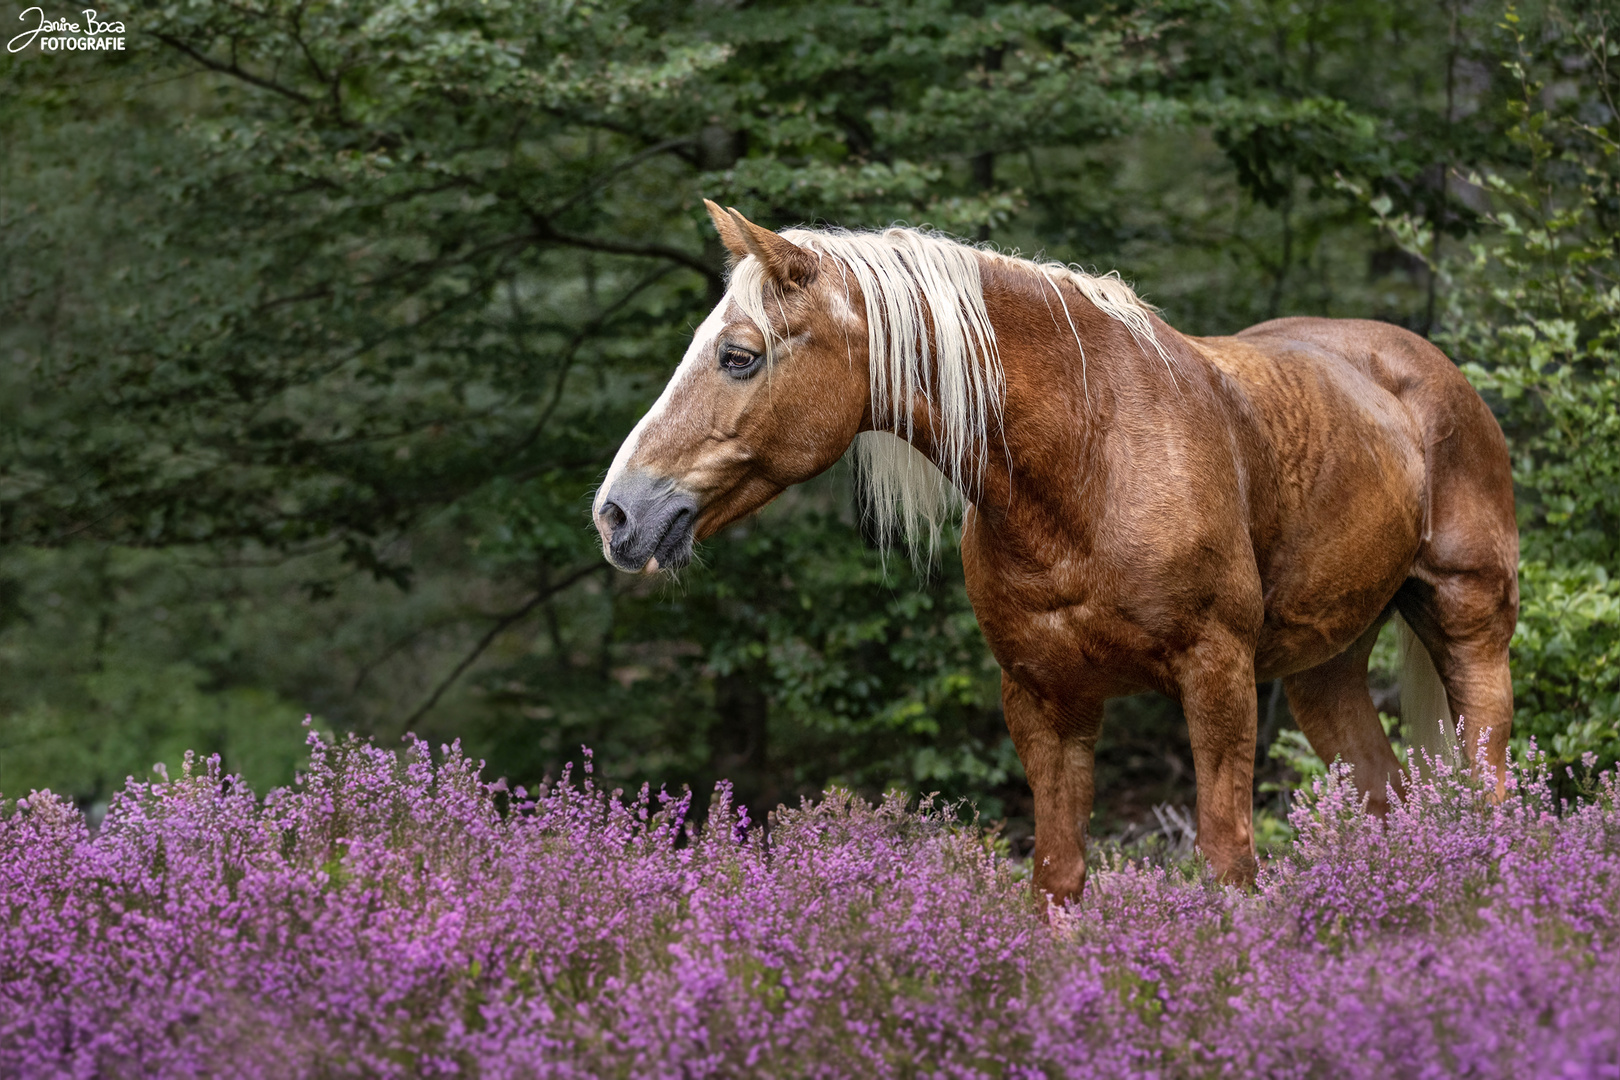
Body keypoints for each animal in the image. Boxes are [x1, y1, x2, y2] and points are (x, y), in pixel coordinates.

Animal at [592, 200, 1516, 906]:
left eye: (738, 356)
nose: (617, 513)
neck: (1090, 460)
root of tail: (1430, 370)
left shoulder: (1215, 674)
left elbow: (1228, 862)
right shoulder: (1044, 696)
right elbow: (1059, 878)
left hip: (1470, 626)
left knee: (1490, 788)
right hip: (1326, 668)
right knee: (1388, 797)